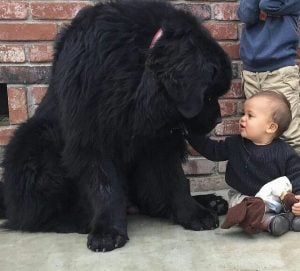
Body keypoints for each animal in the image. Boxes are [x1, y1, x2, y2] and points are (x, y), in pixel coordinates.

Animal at [0, 0, 232, 253]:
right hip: (36, 139)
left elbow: (175, 179)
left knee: (150, 199)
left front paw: (193, 213)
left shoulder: (160, 139)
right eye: (208, 95)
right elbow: (105, 186)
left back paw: (210, 202)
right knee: (33, 216)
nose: (218, 120)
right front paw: (107, 231)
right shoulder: (90, 134)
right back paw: (81, 220)